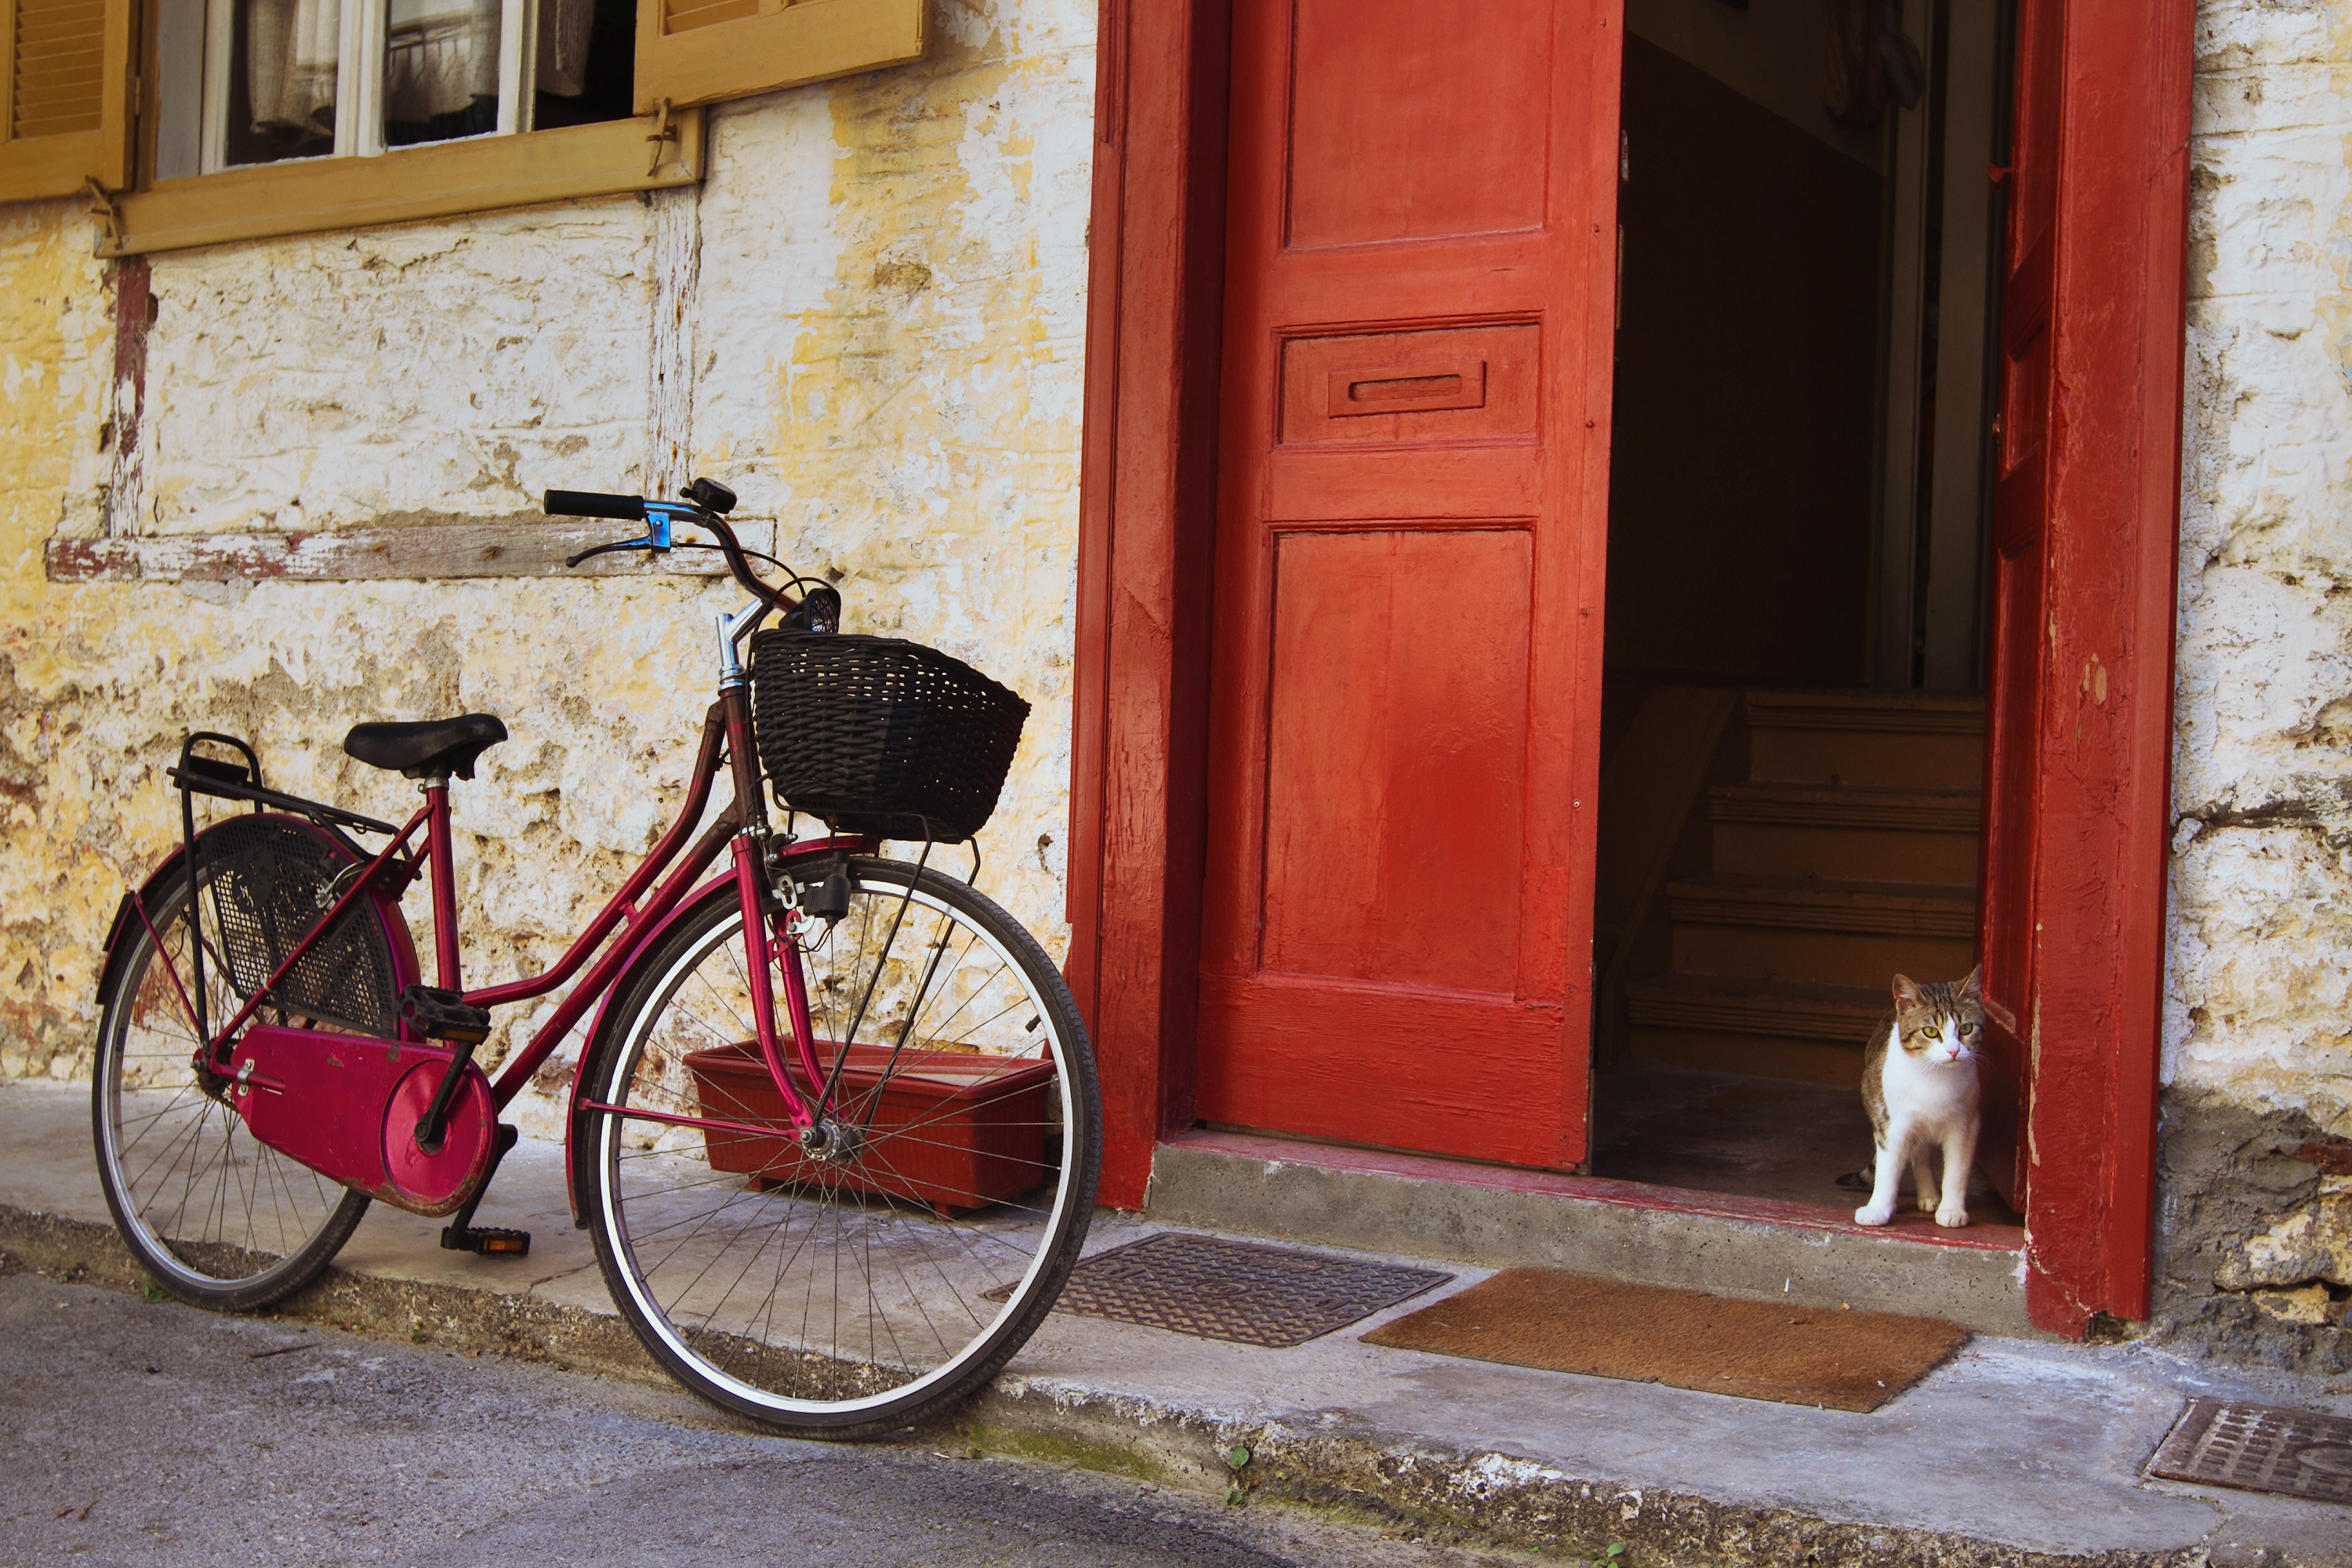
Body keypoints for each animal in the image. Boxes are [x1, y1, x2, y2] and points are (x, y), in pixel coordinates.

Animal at [1853, 968, 1985, 1222]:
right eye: (1931, 1032)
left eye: (1966, 1029)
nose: (1953, 1051)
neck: (1935, 1076)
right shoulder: (1890, 1123)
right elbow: (1888, 1170)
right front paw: (1878, 1209)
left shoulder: (1964, 1125)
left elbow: (1957, 1170)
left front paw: (1952, 1210)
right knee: (1917, 1153)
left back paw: (1929, 1196)